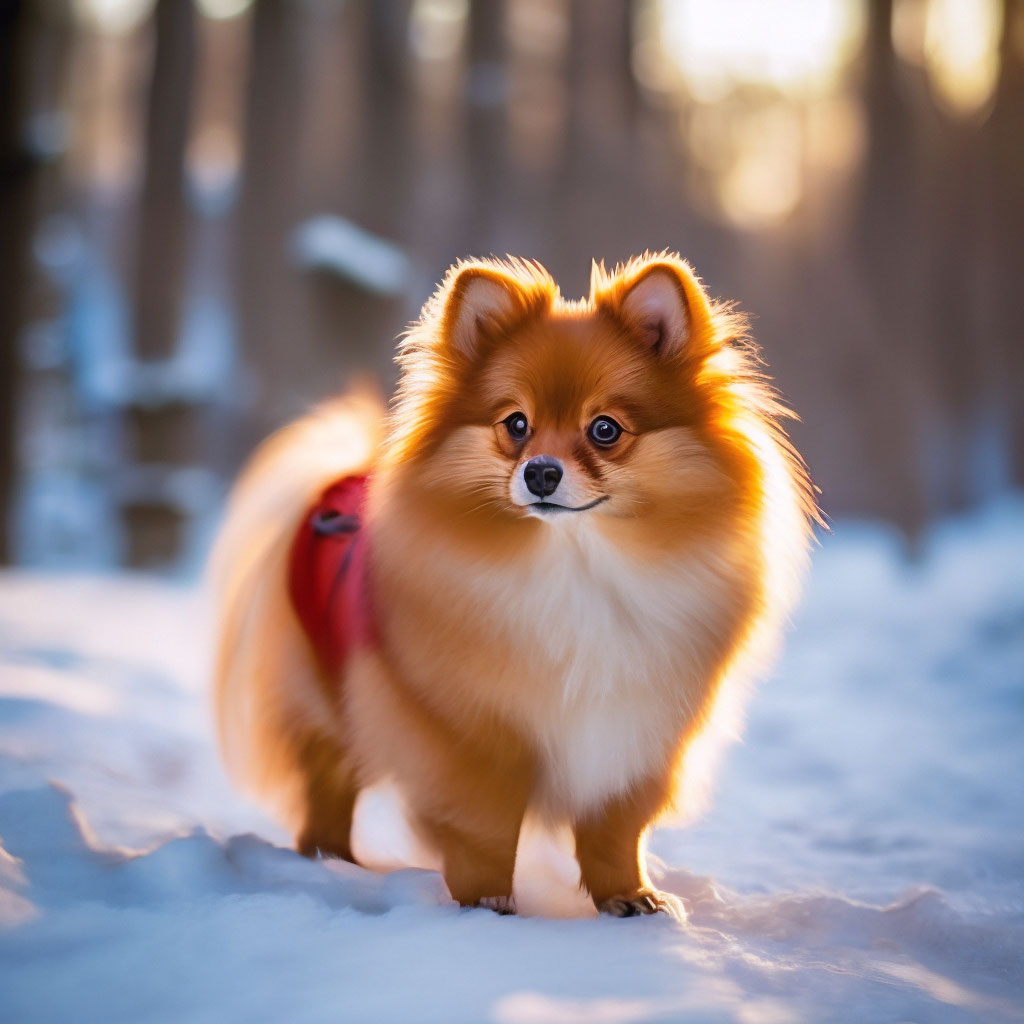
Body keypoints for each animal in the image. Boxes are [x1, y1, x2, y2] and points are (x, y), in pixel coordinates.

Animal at [209, 251, 815, 917]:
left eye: (605, 430)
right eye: (516, 424)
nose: (541, 472)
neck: (577, 569)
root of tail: (337, 485)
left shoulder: (638, 732)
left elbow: (614, 829)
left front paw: (627, 897)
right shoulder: (469, 736)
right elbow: (485, 828)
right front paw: (487, 903)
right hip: (331, 697)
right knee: (330, 779)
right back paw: (328, 860)